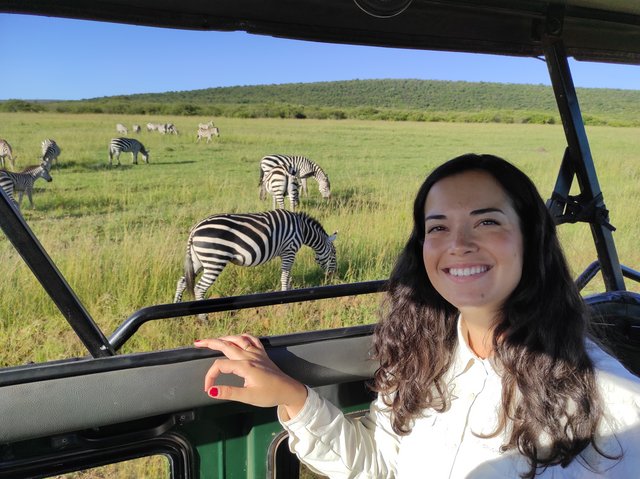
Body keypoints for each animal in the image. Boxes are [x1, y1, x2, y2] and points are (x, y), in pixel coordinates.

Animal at [172, 211, 338, 320]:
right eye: (334, 254)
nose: (333, 276)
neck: (302, 229)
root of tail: (194, 229)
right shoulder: (289, 250)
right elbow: (285, 278)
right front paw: (286, 305)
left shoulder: (287, 253)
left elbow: (288, 277)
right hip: (214, 260)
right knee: (199, 288)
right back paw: (204, 318)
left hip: (197, 260)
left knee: (182, 281)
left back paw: (176, 315)